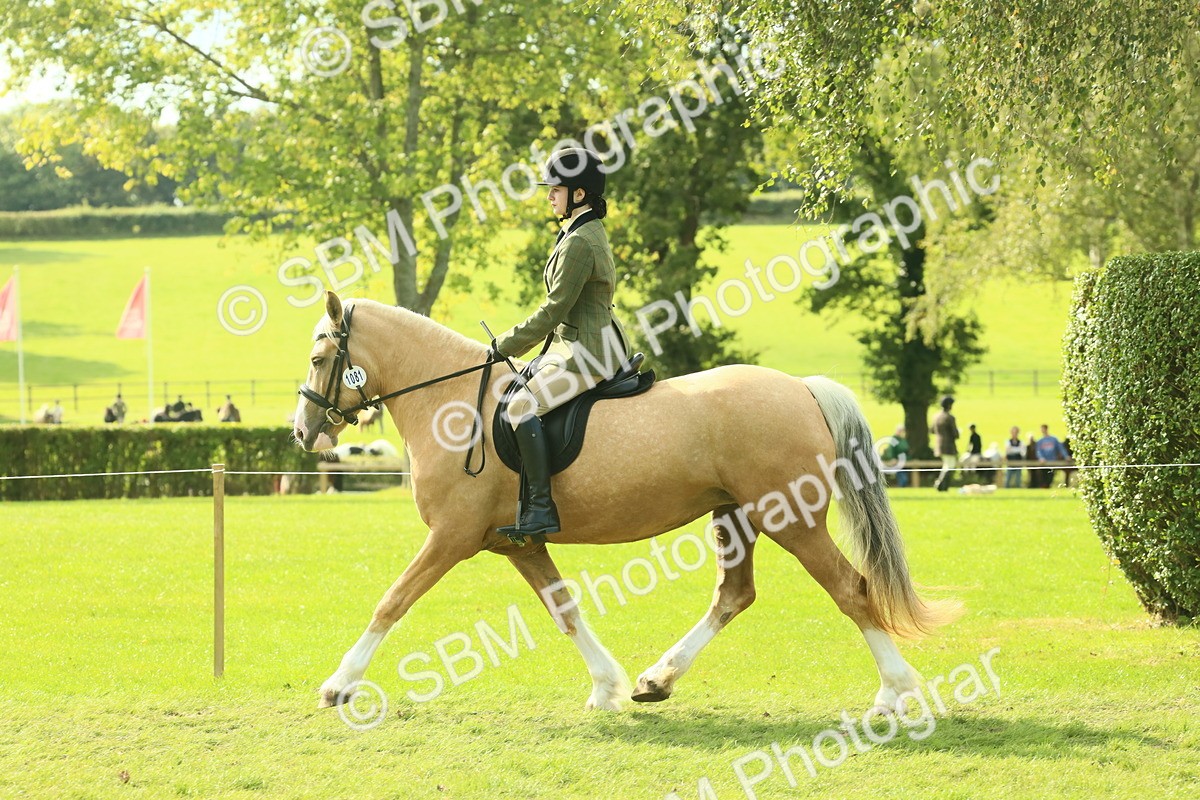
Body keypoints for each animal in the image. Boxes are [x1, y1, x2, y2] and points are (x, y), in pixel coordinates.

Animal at [293, 292, 960, 714]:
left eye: (321, 358)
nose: (303, 432)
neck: (456, 404)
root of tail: (801, 388)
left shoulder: (451, 537)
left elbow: (392, 600)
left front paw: (339, 686)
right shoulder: (517, 543)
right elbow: (564, 610)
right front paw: (607, 687)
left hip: (790, 519)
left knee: (851, 589)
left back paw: (894, 692)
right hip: (735, 516)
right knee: (734, 595)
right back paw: (655, 680)